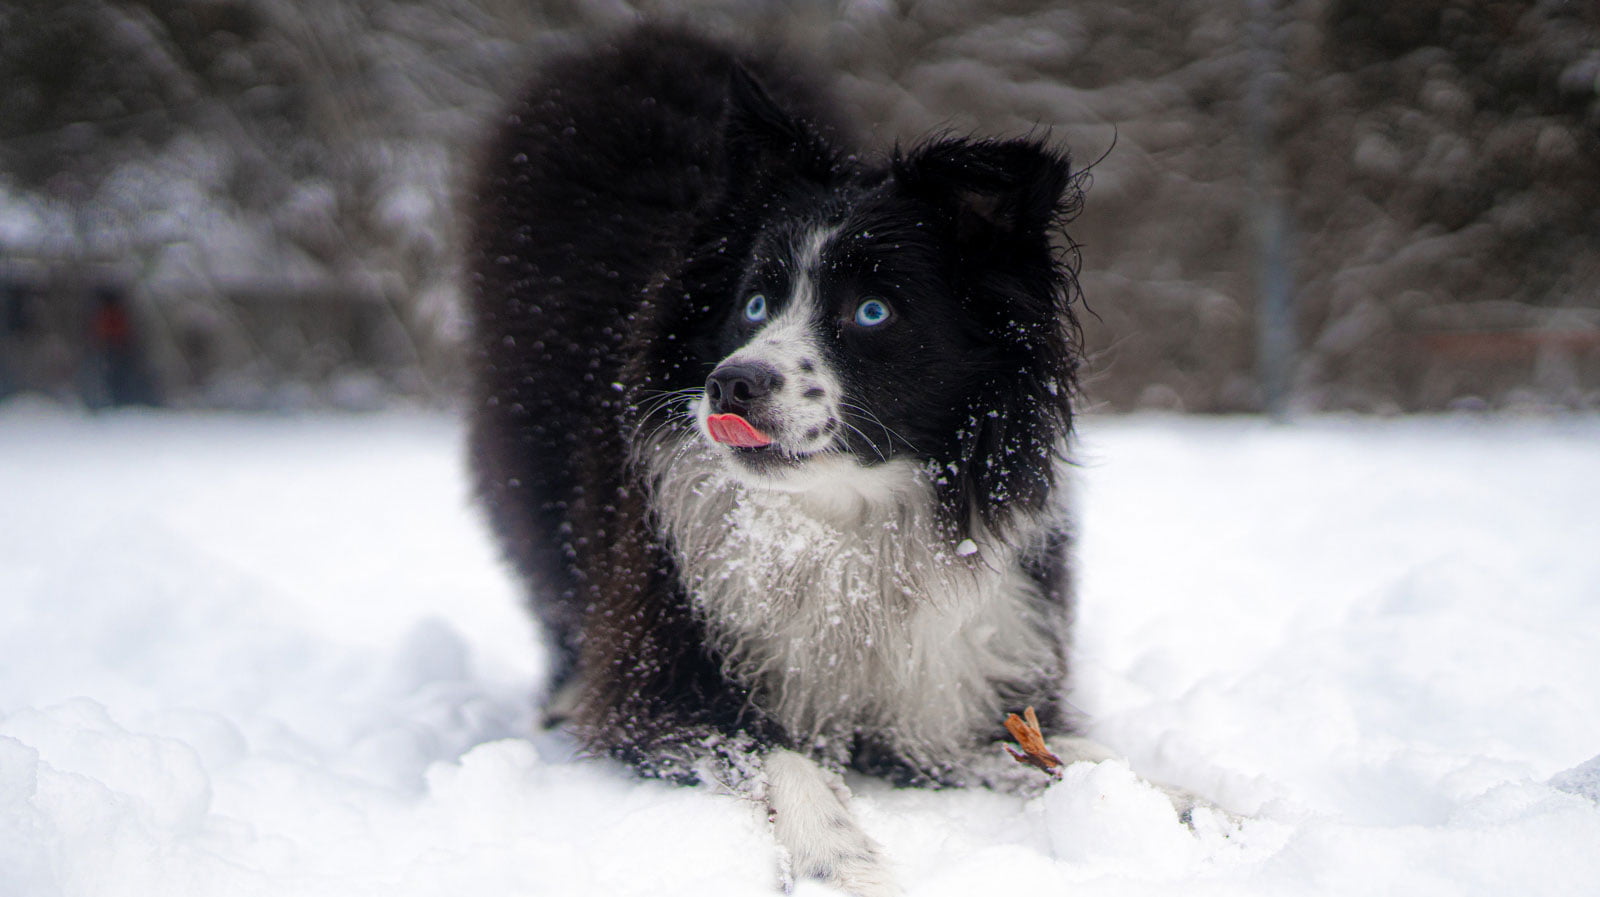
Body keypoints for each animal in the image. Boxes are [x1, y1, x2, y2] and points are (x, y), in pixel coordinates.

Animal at [464, 24, 1177, 895]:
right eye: (753, 303)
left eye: (872, 311)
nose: (733, 382)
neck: (841, 518)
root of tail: (646, 41)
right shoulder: (665, 680)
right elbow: (779, 752)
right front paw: (843, 860)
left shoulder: (956, 683)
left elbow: (1064, 748)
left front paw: (1184, 804)